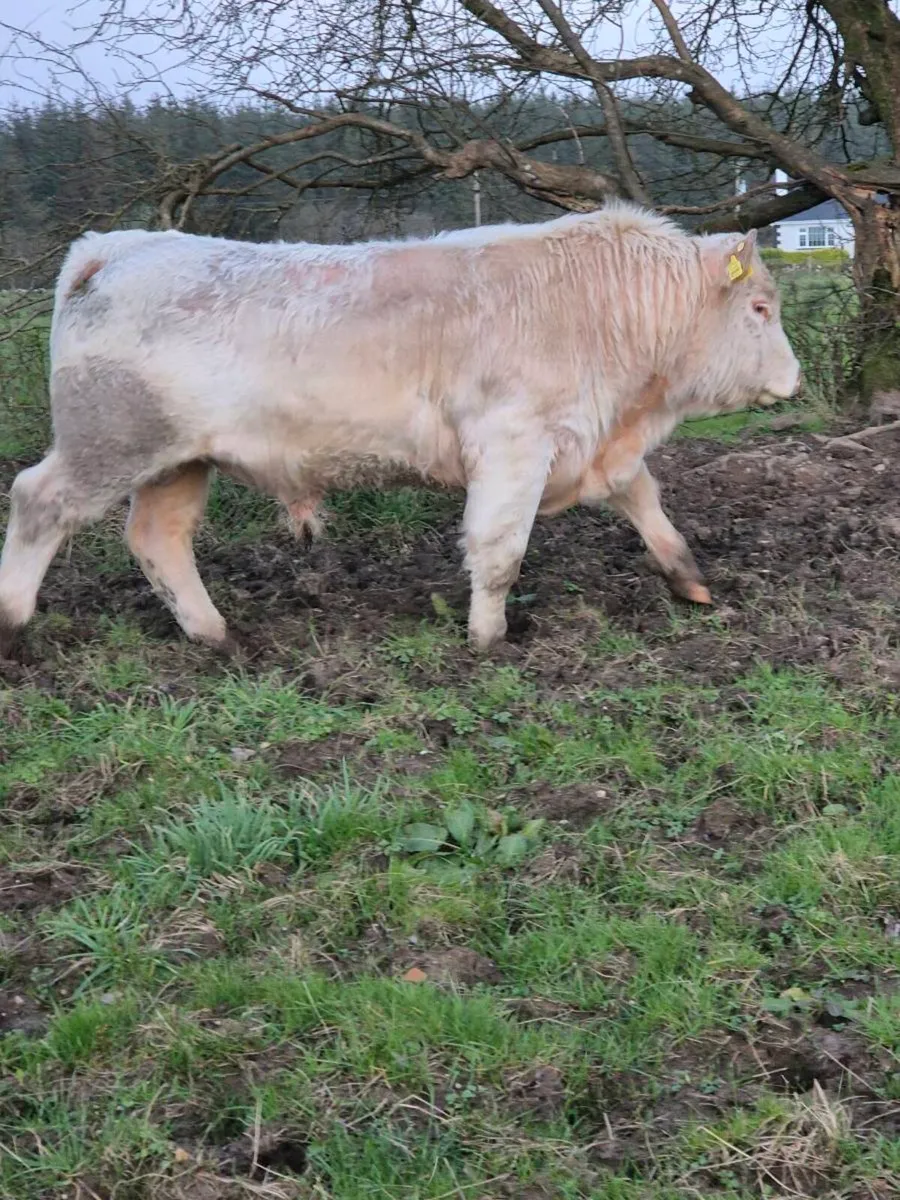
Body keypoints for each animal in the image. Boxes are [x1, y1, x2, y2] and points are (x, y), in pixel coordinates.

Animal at [0, 203, 800, 655]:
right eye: (761, 309)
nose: (794, 379)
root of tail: (116, 247)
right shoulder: (515, 441)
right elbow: (499, 550)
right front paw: (488, 639)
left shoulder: (591, 441)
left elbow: (644, 498)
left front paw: (689, 578)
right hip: (109, 441)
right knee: (39, 501)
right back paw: (11, 626)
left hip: (177, 460)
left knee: (158, 539)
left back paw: (216, 635)